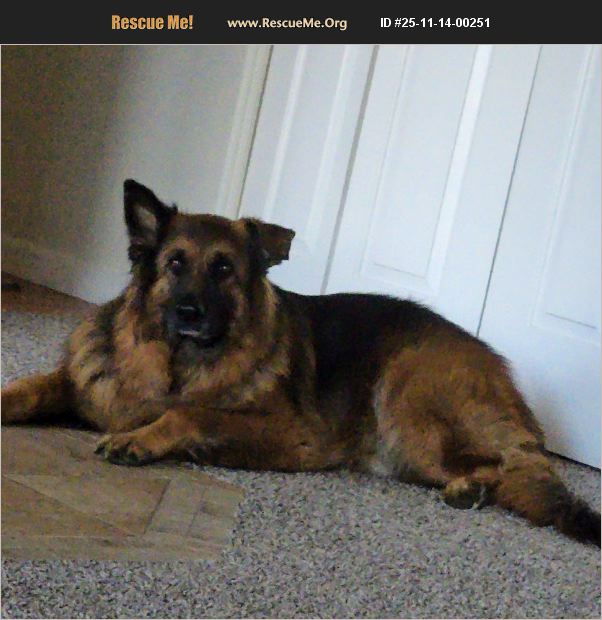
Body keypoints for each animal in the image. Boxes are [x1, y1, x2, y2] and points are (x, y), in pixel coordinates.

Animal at [2, 179, 599, 546]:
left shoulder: (295, 432)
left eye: (223, 269)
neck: (177, 364)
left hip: (407, 397)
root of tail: (496, 364)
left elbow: (189, 414)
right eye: (174, 263)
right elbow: (30, 385)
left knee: (509, 468)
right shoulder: (84, 382)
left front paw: (139, 439)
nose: (190, 313)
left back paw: (470, 487)